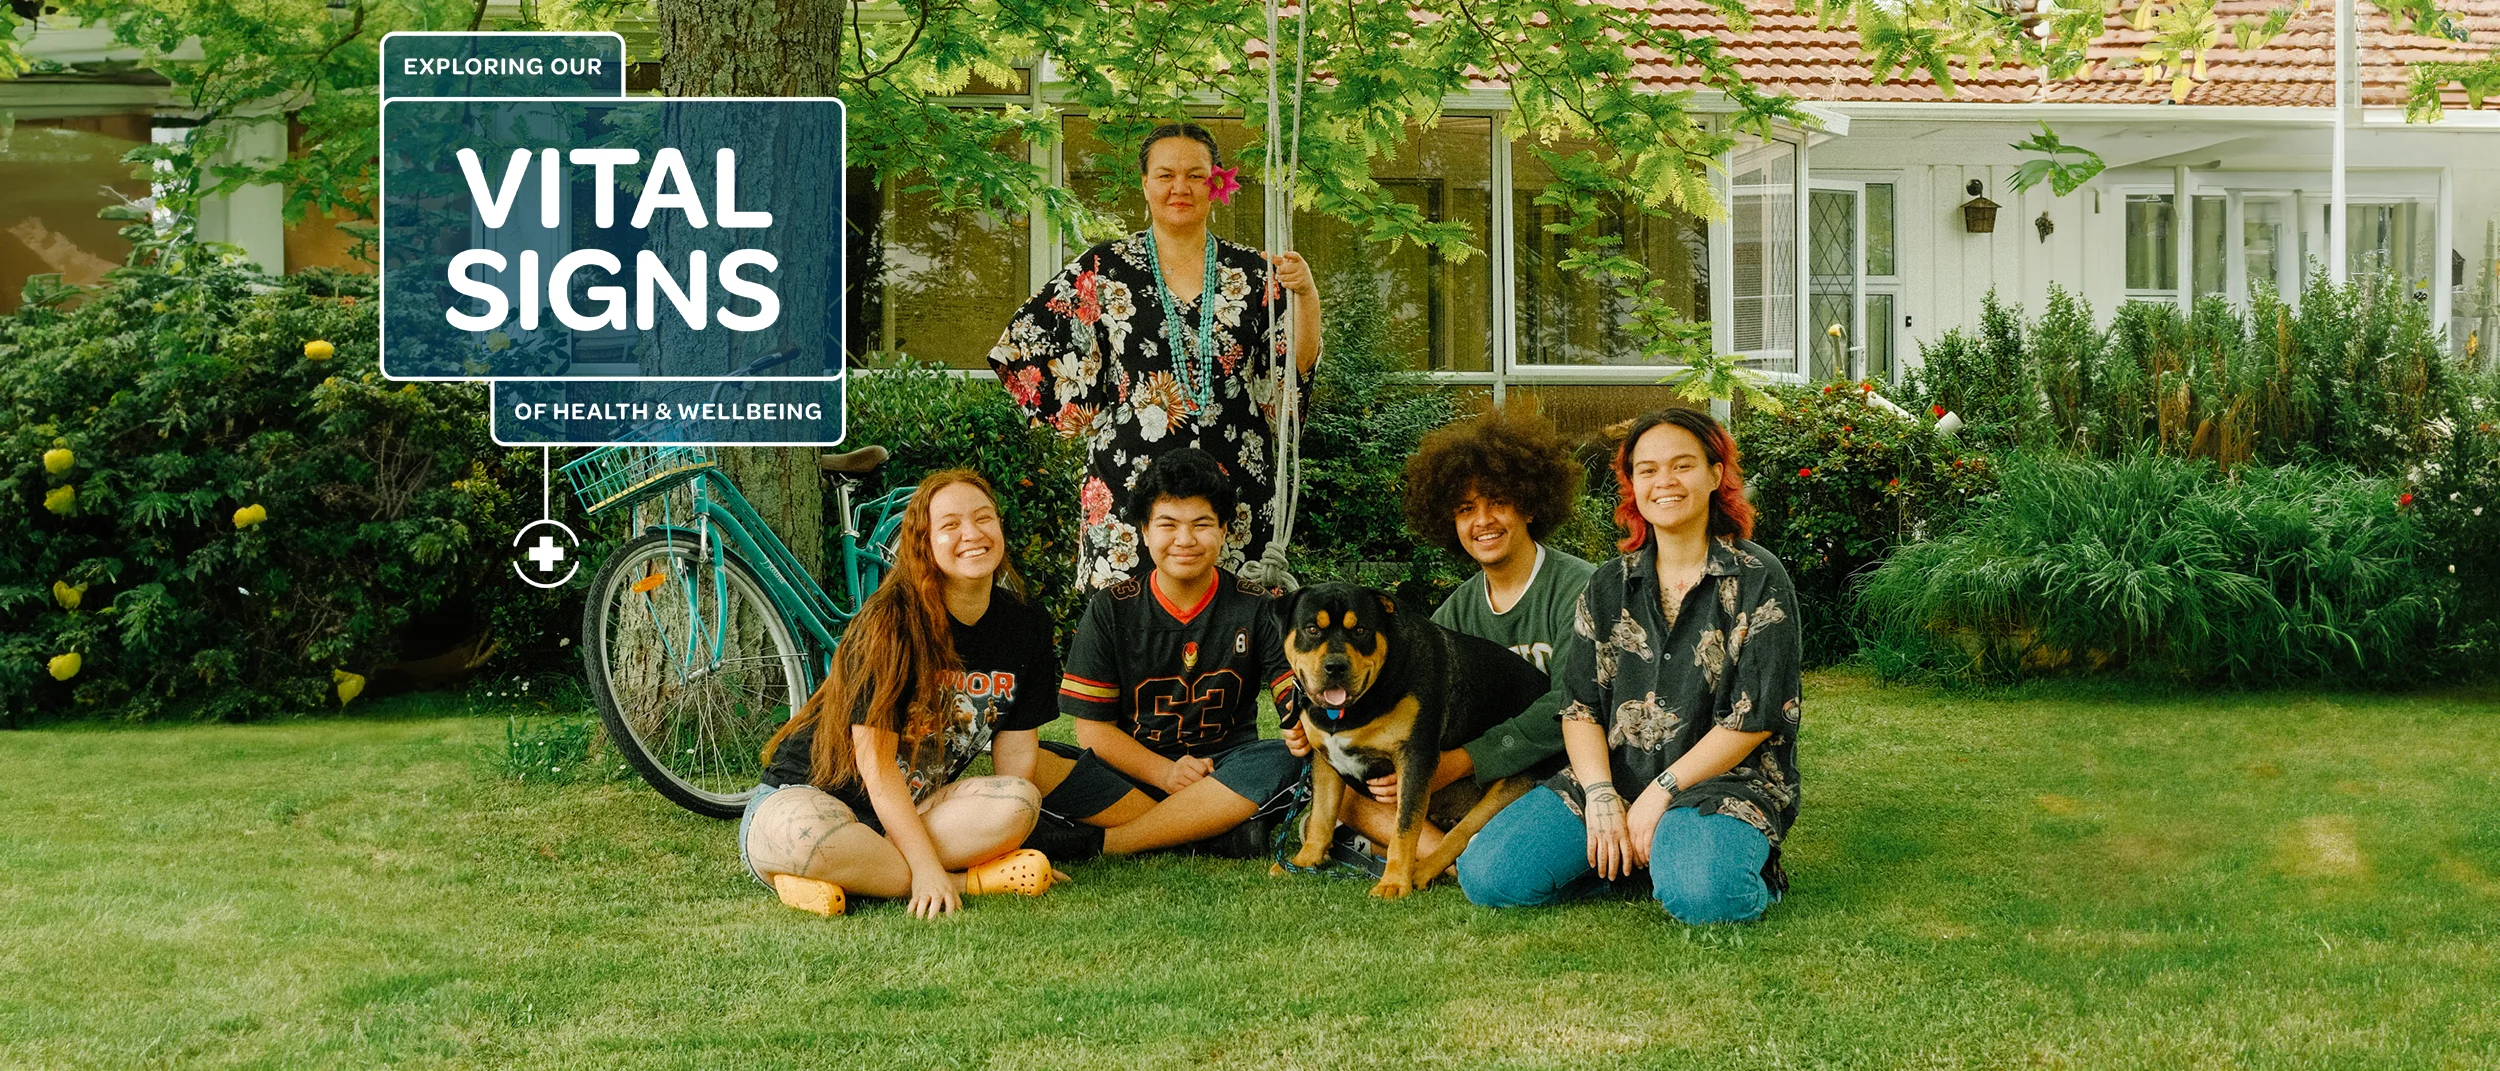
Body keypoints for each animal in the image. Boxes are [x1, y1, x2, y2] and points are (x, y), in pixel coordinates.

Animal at [1280, 585, 1550, 895]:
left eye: (1360, 630)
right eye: (1312, 629)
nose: (1335, 666)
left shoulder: (1415, 758)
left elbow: (1405, 828)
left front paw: (1394, 882)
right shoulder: (1323, 757)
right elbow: (1322, 817)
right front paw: (1303, 861)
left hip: (1513, 784)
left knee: (1460, 835)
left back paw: (1421, 872)